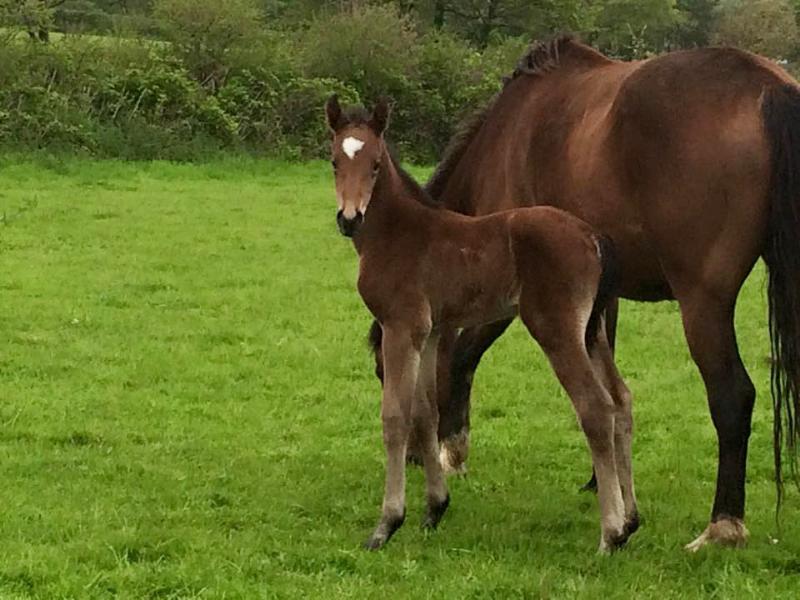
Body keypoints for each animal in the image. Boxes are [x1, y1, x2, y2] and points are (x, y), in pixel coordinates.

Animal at [324, 96, 636, 552]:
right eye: (333, 161)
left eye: (376, 164)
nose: (349, 219)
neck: (398, 233)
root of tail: (592, 237)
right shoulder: (431, 332)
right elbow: (426, 414)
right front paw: (435, 509)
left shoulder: (401, 327)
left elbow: (395, 417)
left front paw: (387, 524)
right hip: (592, 331)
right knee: (621, 400)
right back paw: (631, 520)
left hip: (557, 329)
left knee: (595, 408)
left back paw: (610, 534)